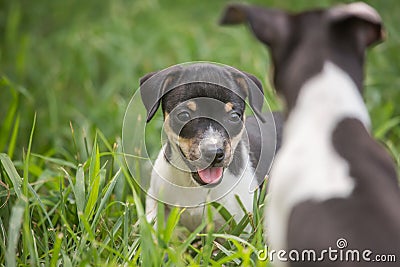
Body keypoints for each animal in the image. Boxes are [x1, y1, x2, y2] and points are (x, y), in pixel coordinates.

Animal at [141, 63, 282, 232]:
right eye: (183, 115)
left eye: (234, 117)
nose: (214, 153)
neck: (195, 186)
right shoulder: (154, 199)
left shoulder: (243, 225)